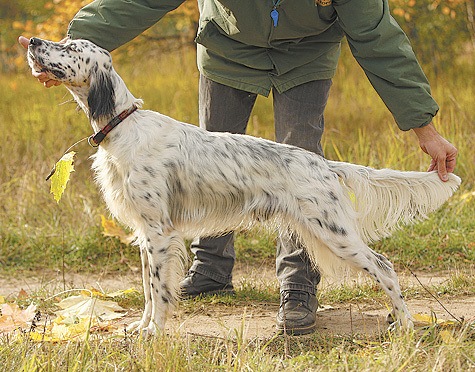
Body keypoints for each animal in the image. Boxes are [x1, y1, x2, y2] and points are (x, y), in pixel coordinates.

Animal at [27, 39, 462, 336]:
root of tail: (322, 162)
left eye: (70, 47)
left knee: (384, 267)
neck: (124, 125)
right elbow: (149, 291)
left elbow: (159, 290)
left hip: (333, 232)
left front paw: (153, 333)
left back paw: (405, 324)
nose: (31, 41)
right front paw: (142, 327)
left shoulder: (159, 233)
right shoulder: (145, 233)